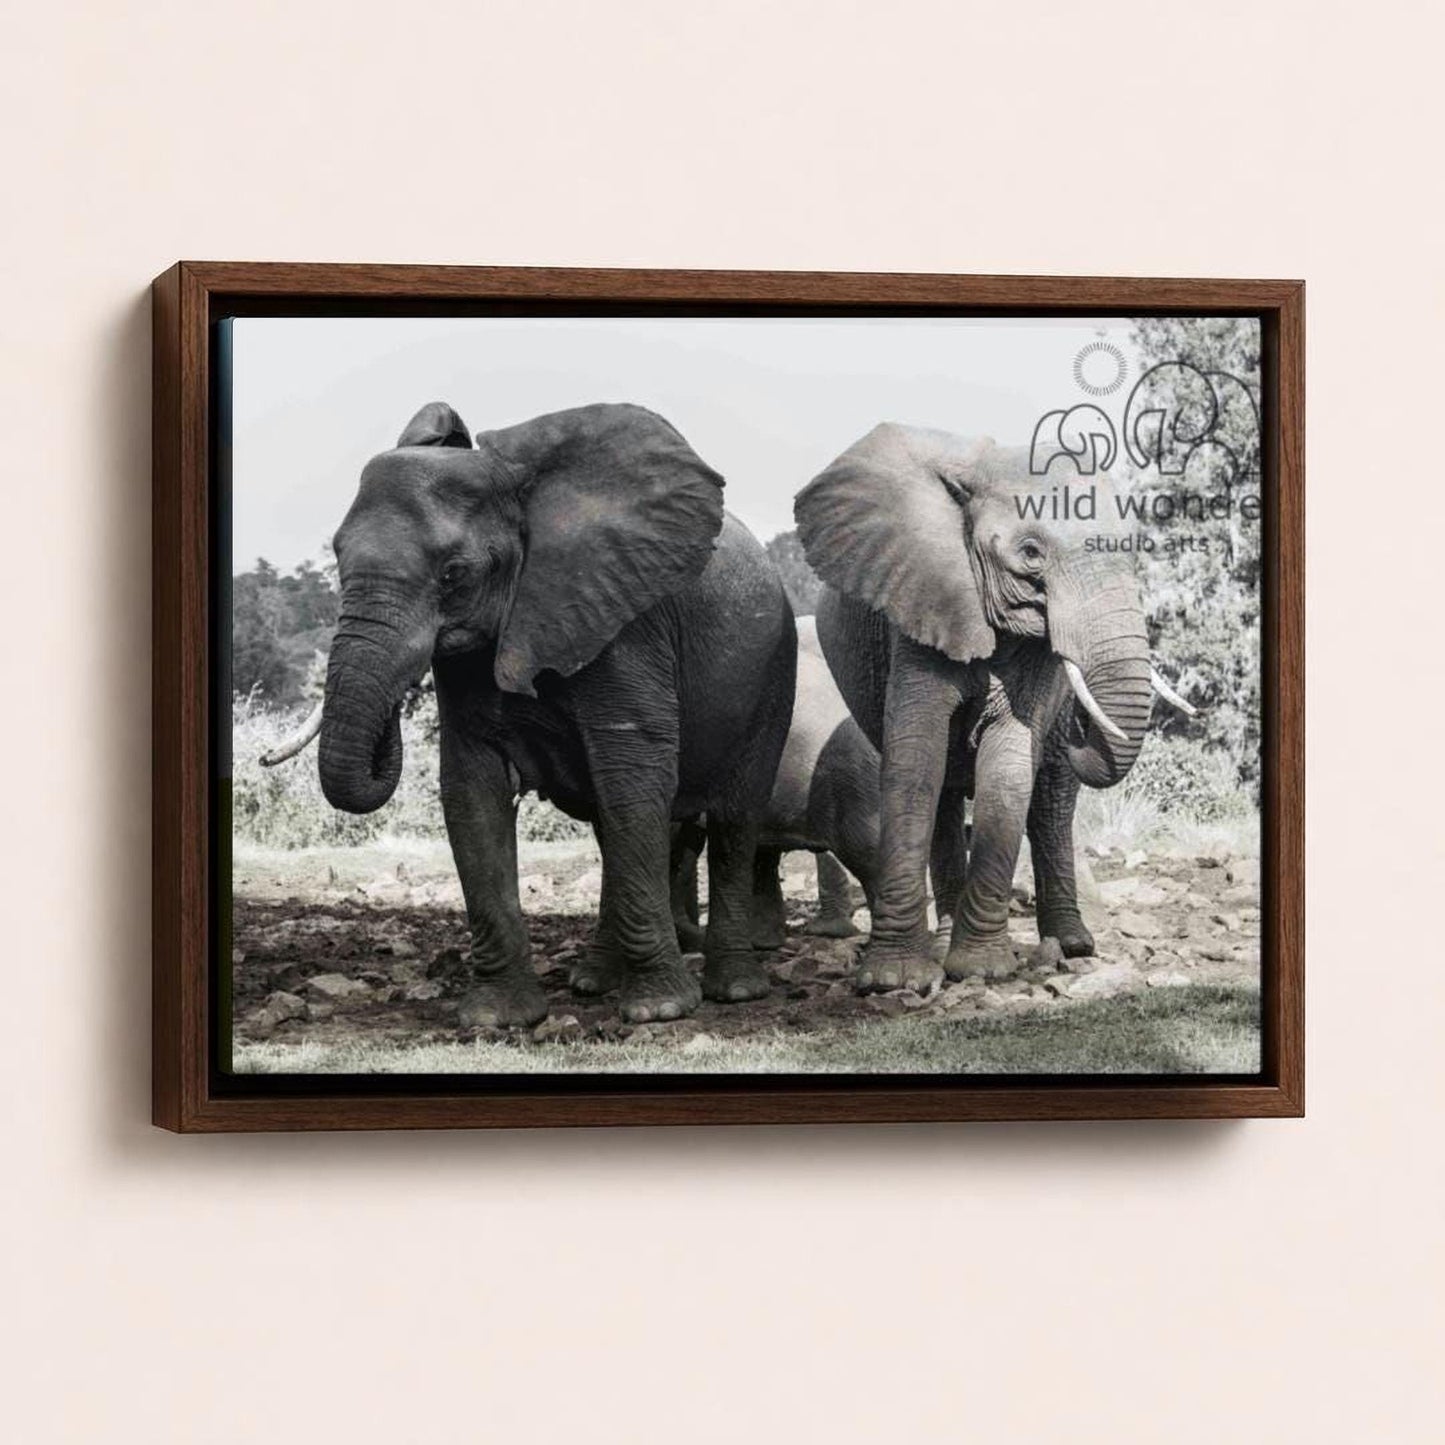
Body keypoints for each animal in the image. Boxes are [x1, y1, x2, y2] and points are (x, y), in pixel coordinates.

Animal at [311, 399, 796, 1026]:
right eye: (337, 555)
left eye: (453, 573)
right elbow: (473, 790)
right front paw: (496, 1018)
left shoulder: (626, 622)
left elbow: (634, 778)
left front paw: (660, 1010)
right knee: (613, 828)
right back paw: (594, 981)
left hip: (773, 668)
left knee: (734, 816)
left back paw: (733, 990)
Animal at [794, 423, 1156, 994]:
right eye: (1030, 552)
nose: (1080, 723)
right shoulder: (918, 600)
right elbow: (916, 758)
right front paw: (894, 979)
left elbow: (1008, 766)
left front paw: (982, 970)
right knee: (944, 795)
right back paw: (943, 946)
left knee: (1050, 805)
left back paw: (1072, 948)